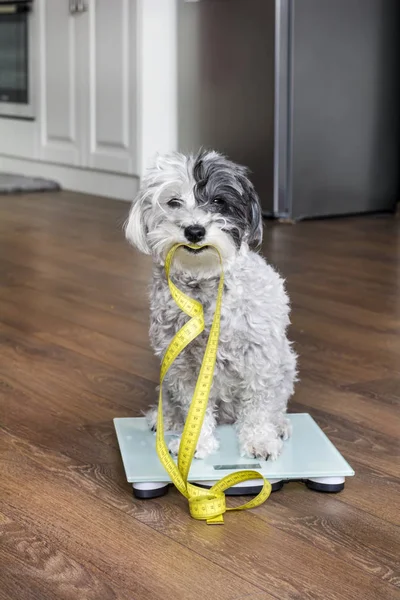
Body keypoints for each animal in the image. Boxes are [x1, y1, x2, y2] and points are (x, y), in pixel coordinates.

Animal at [125, 150, 296, 460]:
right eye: (173, 202)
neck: (203, 287)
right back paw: (166, 418)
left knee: (275, 404)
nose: (194, 230)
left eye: (218, 201)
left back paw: (278, 424)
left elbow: (258, 406)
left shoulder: (259, 358)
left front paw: (259, 440)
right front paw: (195, 442)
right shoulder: (181, 364)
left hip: (286, 364)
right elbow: (194, 409)